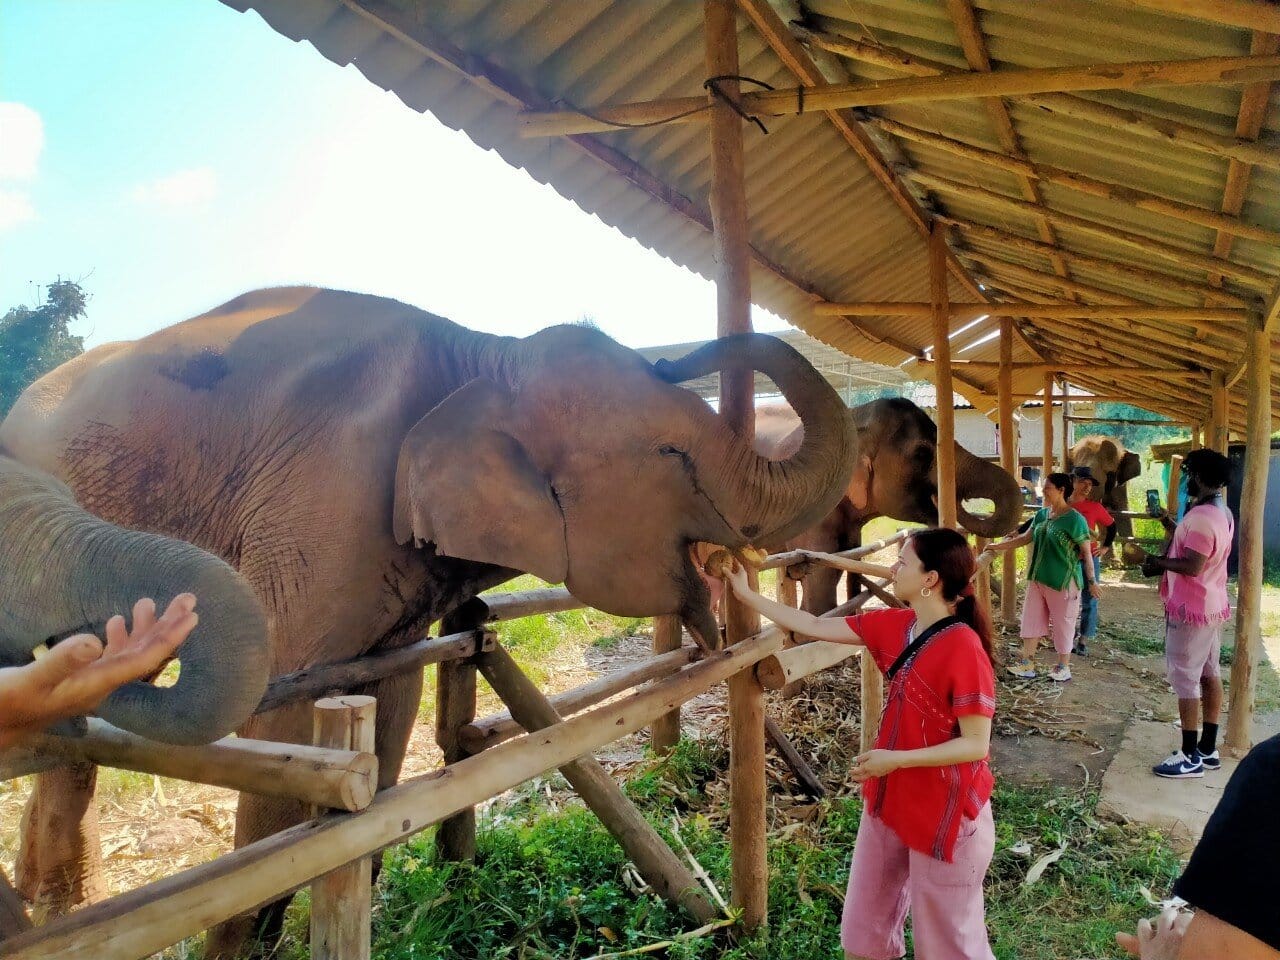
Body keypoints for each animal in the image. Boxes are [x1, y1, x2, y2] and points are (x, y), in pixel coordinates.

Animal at [0, 286, 855, 955]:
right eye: (674, 454)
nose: (680, 351)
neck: (483, 356)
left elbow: (390, 702)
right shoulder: (324, 504)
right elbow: (281, 723)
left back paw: (53, 898)